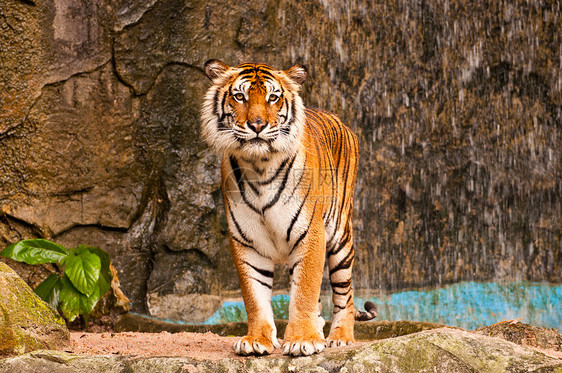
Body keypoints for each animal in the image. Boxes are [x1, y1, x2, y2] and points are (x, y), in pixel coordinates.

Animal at [199, 58, 374, 354]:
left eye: (273, 97)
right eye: (240, 97)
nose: (257, 125)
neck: (259, 166)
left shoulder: (310, 234)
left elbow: (304, 292)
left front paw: (302, 339)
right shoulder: (247, 241)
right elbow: (255, 296)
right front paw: (257, 340)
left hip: (340, 237)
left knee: (345, 293)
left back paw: (340, 336)